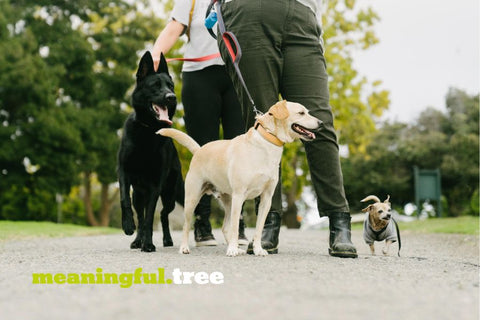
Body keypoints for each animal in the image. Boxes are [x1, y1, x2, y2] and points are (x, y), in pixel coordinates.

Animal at [116, 52, 184, 252]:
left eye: (170, 86)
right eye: (155, 86)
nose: (172, 97)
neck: (147, 129)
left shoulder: (155, 185)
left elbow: (149, 217)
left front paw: (148, 244)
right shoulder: (123, 173)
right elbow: (124, 201)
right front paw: (128, 226)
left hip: (170, 195)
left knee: (163, 214)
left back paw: (166, 239)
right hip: (138, 196)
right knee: (140, 214)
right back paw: (137, 239)